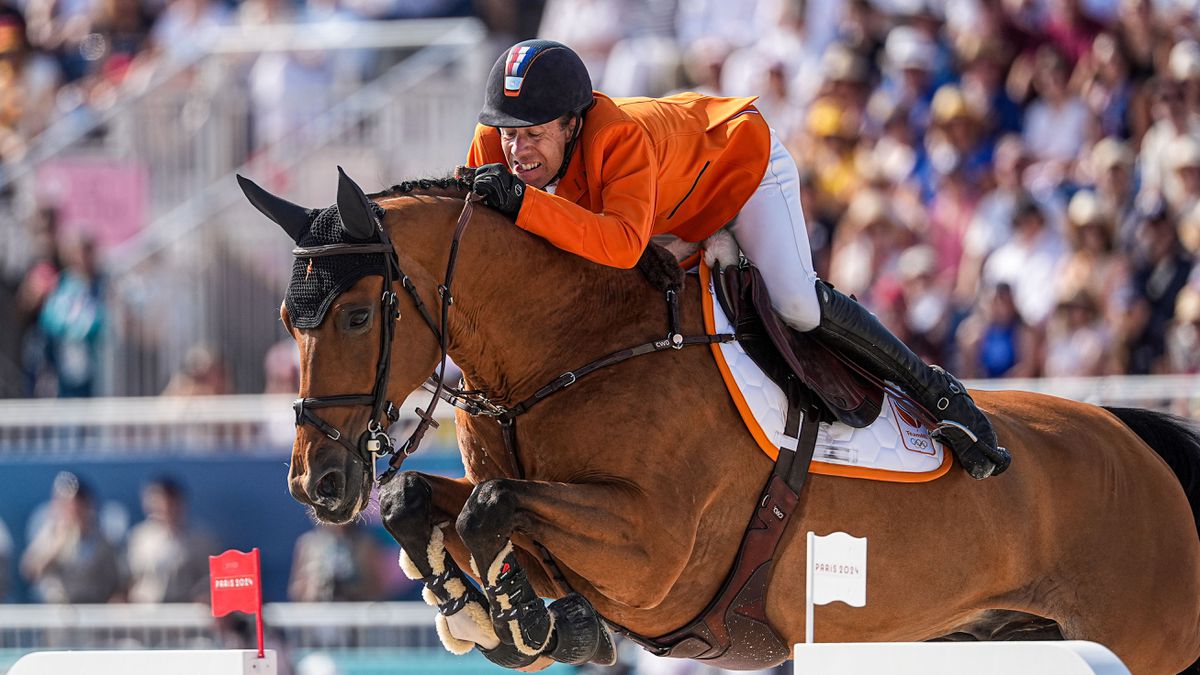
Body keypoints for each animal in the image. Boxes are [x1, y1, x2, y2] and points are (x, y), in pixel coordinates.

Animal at [238, 170, 1200, 667]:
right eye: (287, 319)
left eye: (354, 317)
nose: (317, 483)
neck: (567, 351)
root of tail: (1138, 439)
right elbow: (430, 504)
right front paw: (491, 614)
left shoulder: (655, 551)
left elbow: (490, 509)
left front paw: (519, 617)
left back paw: (966, 423)